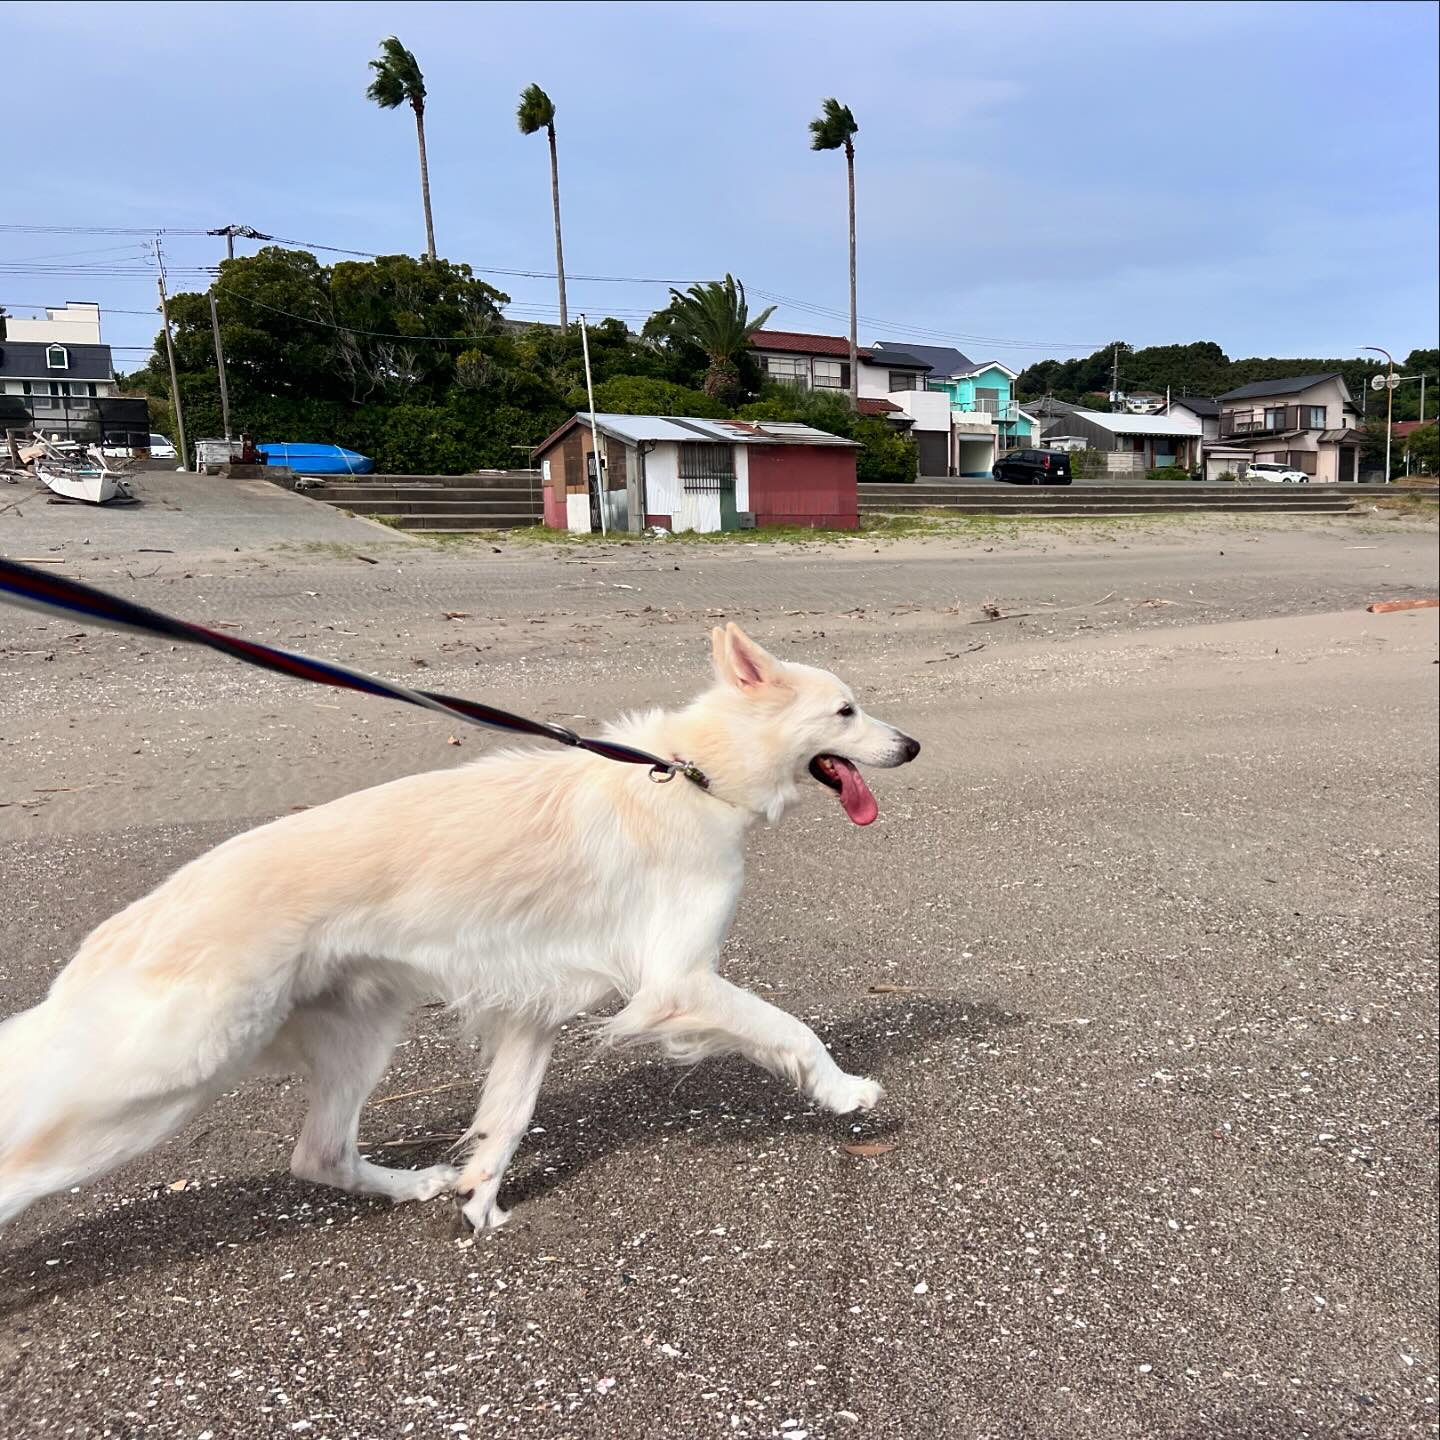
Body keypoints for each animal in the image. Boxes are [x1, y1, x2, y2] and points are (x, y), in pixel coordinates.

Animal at [0, 624, 915, 1232]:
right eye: (846, 710)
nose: (910, 746)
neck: (693, 776)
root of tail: (129, 927)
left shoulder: (536, 1005)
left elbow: (505, 1117)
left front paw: (480, 1195)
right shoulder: (676, 981)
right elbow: (791, 1031)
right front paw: (845, 1092)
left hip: (359, 1035)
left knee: (319, 1154)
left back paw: (416, 1187)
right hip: (164, 1078)